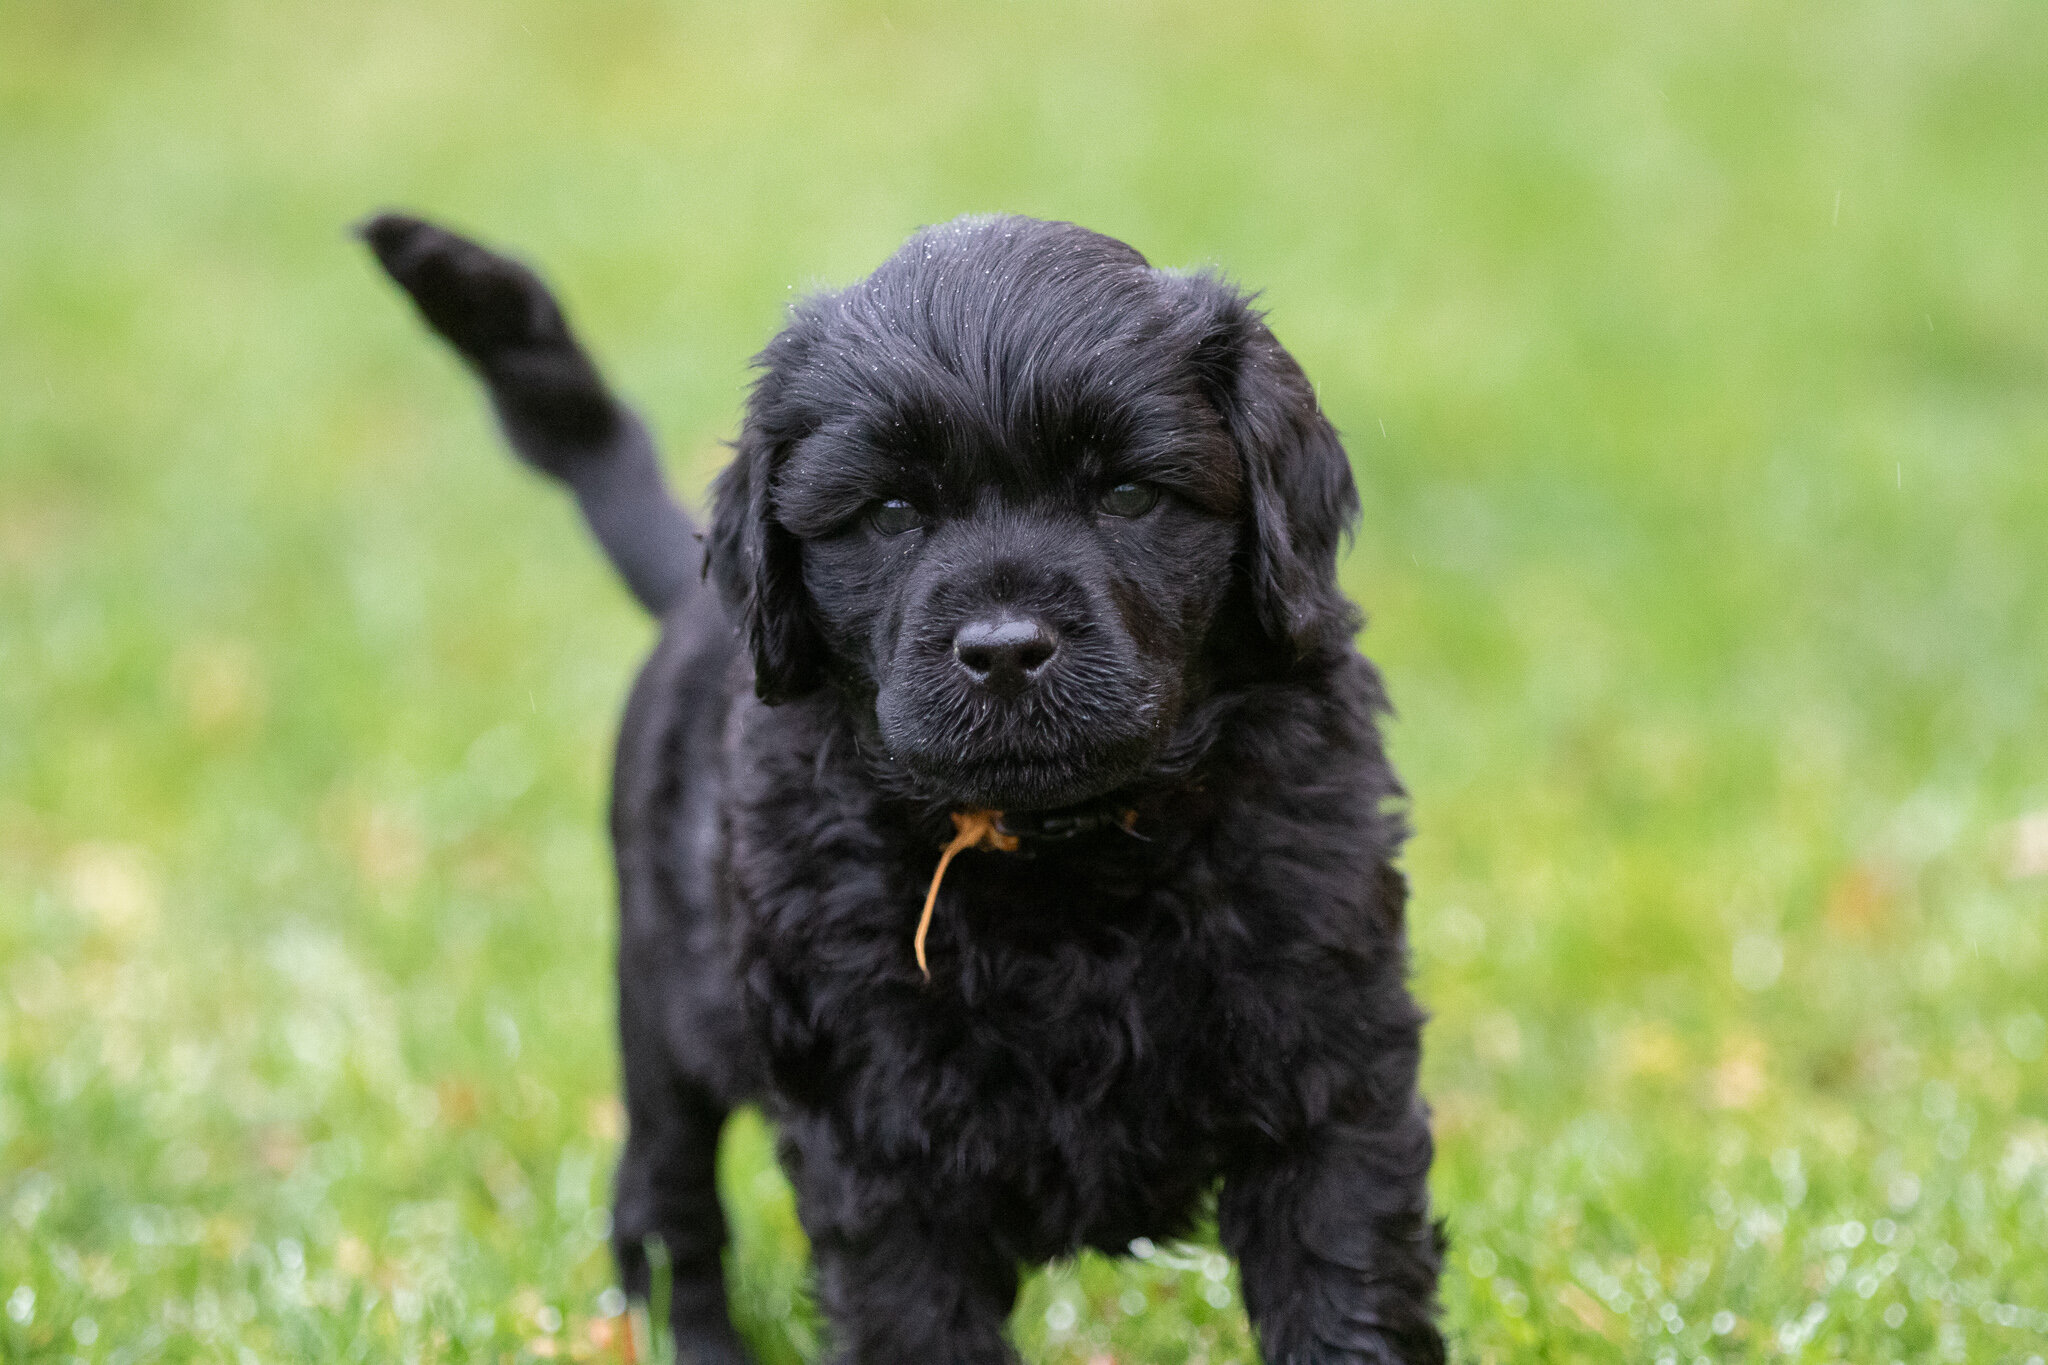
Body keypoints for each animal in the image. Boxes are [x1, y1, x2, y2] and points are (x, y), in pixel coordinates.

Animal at [368, 213, 1449, 1365]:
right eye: (890, 512)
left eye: (1126, 494)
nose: (1005, 649)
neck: (1062, 856)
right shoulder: (873, 1120)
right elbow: (911, 1312)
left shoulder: (1328, 1065)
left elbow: (1344, 1284)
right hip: (663, 1000)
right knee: (664, 1200)